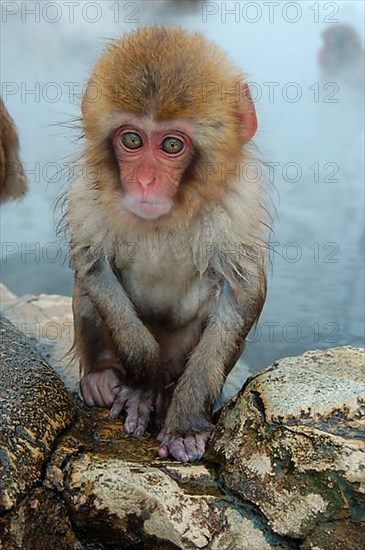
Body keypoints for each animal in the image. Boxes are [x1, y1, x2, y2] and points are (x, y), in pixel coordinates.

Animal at [67, 27, 268, 466]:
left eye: (172, 146)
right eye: (131, 139)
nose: (144, 182)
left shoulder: (237, 205)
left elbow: (241, 291)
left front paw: (186, 421)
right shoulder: (88, 188)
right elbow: (92, 262)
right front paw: (145, 384)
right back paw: (103, 375)